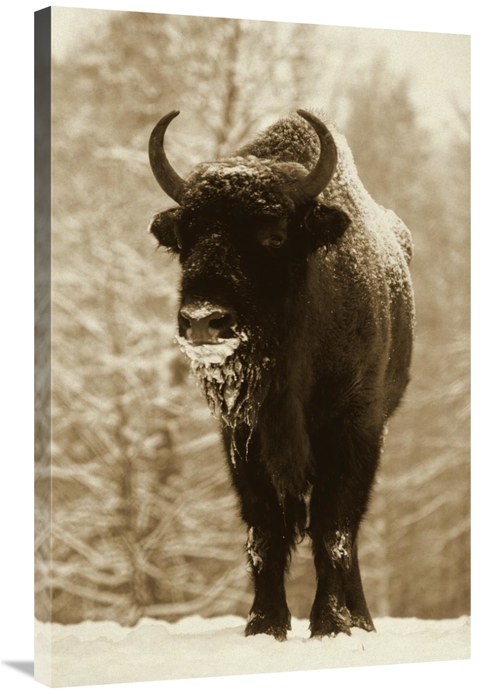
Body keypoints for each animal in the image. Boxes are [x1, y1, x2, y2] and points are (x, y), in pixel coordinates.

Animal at [148, 109, 414, 640]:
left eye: (272, 236)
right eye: (186, 240)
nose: (204, 320)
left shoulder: (353, 429)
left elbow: (333, 527)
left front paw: (331, 623)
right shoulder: (243, 438)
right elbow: (265, 530)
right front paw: (263, 624)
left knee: (347, 530)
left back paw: (361, 619)